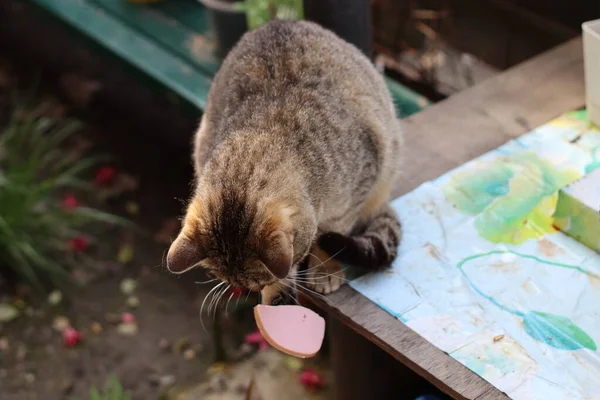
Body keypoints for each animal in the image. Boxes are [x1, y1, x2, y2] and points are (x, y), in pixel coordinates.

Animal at [168, 20, 404, 304]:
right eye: (237, 282)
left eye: (260, 281)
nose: (251, 290)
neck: (263, 134)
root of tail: (277, 21)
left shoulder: (359, 183)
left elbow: (328, 235)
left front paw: (324, 269)